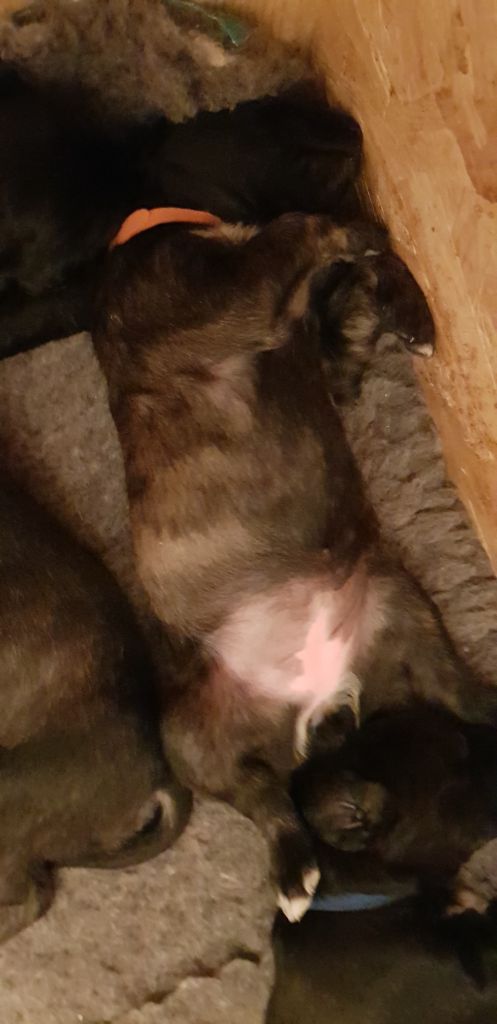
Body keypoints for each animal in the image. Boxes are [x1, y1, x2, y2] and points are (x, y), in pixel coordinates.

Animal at [91, 209, 495, 922]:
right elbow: (299, 227)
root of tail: (314, 708)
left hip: (400, 605)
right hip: (186, 735)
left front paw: (404, 307)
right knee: (264, 800)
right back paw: (293, 870)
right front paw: (363, 234)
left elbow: (348, 304)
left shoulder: (327, 359)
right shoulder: (219, 301)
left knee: (462, 696)